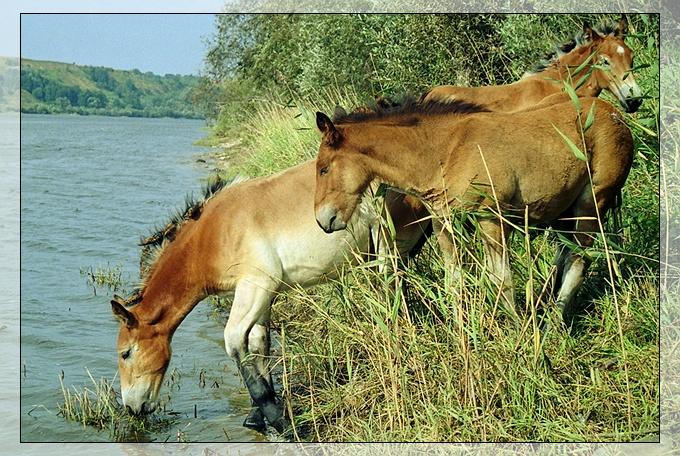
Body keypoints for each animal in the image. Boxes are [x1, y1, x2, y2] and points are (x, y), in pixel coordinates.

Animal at [111, 160, 430, 434]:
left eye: (126, 353)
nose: (132, 407)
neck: (216, 234)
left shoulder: (256, 285)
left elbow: (235, 341)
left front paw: (281, 422)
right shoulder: (262, 294)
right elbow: (258, 343)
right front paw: (259, 414)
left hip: (387, 250)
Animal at [314, 98, 632, 322]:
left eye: (324, 168)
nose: (323, 220)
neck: (445, 152)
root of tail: (616, 115)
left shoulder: (491, 218)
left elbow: (502, 280)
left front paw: (515, 335)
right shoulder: (444, 224)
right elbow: (454, 282)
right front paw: (462, 334)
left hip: (592, 204)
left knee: (578, 262)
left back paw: (553, 322)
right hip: (565, 213)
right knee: (564, 257)